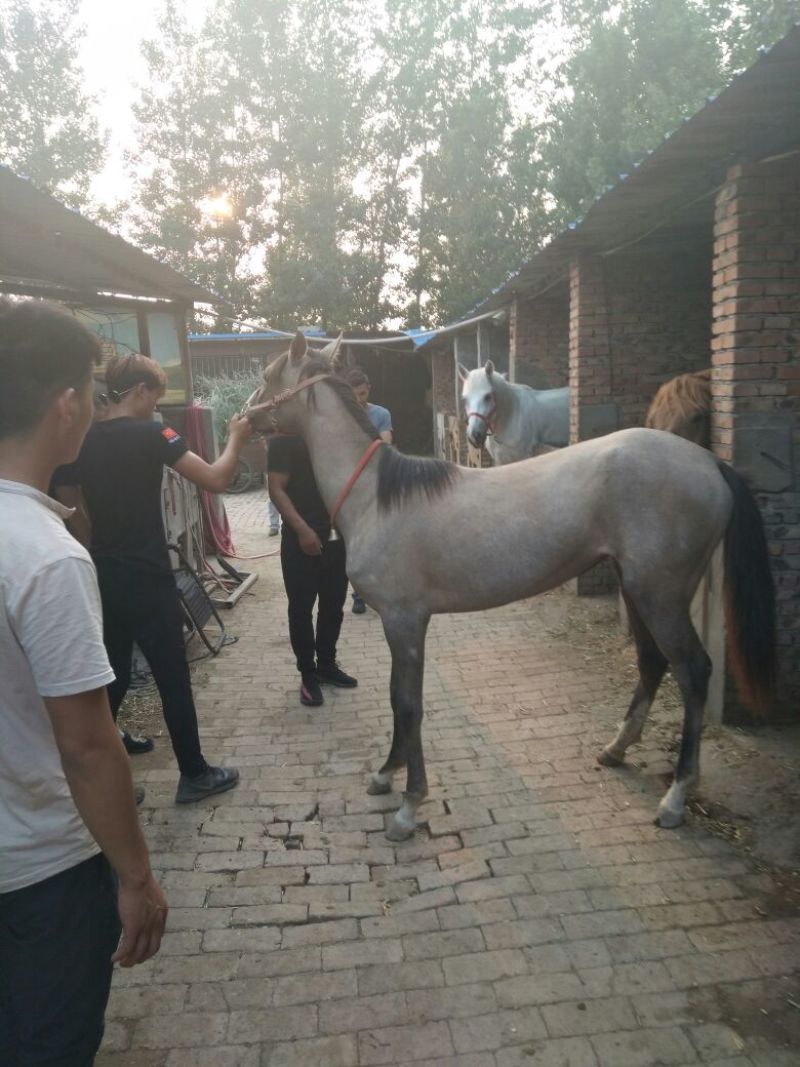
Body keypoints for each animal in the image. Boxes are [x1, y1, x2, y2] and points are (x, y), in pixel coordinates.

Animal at [245, 332, 775, 842]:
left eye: (269, 376)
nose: (245, 419)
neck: (376, 497)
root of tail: (709, 463)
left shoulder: (405, 622)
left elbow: (409, 704)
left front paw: (408, 807)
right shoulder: (398, 626)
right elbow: (398, 697)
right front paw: (385, 773)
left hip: (661, 595)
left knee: (693, 672)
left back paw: (676, 798)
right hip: (638, 589)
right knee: (652, 662)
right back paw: (616, 749)